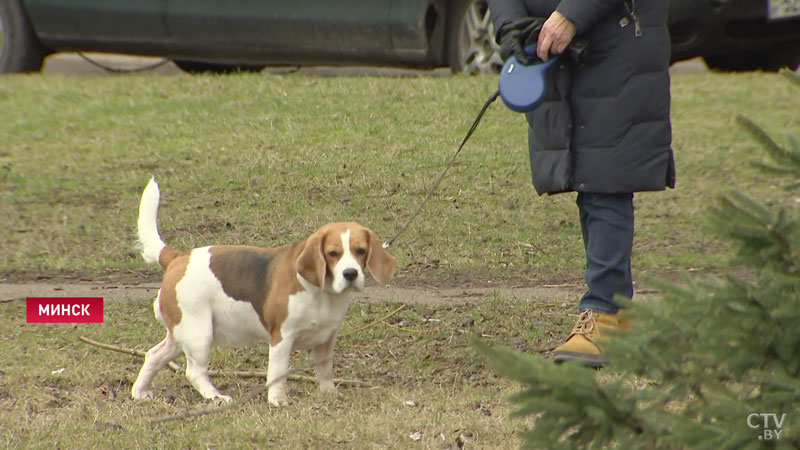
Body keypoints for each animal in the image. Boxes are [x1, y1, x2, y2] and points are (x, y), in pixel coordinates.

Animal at [131, 178, 396, 406]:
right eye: (333, 253)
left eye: (360, 250)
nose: (351, 274)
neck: (321, 294)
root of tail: (177, 258)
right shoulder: (282, 337)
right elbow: (278, 372)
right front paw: (278, 400)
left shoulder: (326, 338)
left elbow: (324, 370)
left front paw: (328, 394)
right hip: (199, 333)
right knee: (194, 372)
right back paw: (216, 397)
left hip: (181, 334)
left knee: (153, 355)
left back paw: (140, 392)